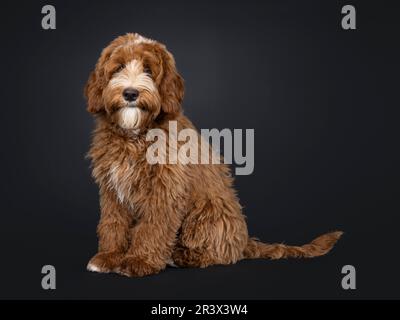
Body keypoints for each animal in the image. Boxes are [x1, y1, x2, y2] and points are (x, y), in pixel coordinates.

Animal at [84, 33, 340, 278]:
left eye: (148, 69)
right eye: (118, 67)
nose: (130, 93)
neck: (135, 135)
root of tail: (243, 241)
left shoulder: (164, 190)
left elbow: (153, 227)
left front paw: (139, 261)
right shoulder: (112, 189)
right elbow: (113, 223)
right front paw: (109, 257)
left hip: (209, 209)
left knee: (220, 252)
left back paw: (181, 257)